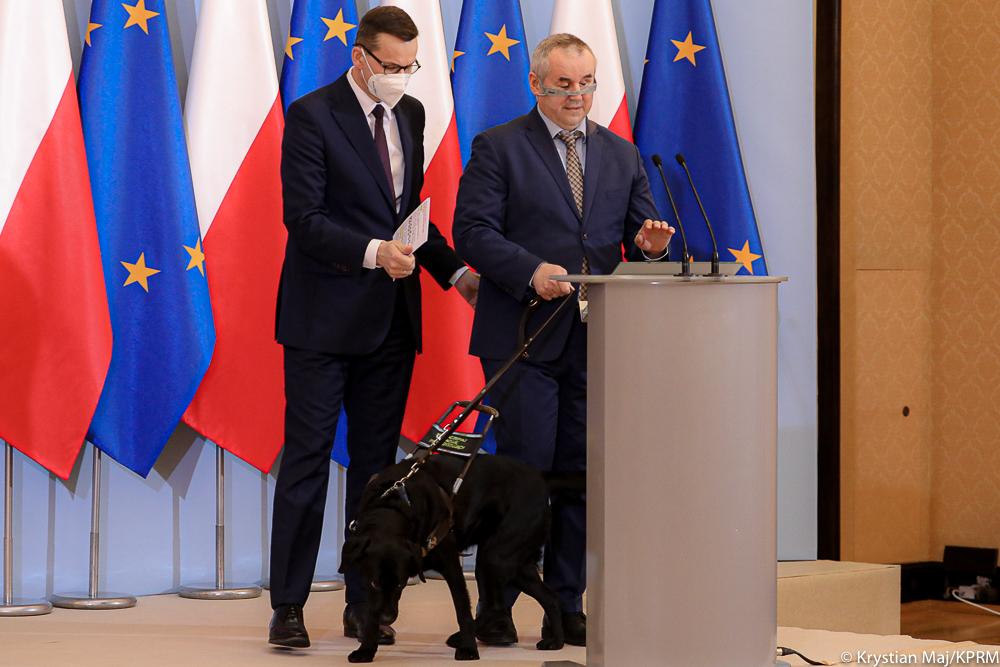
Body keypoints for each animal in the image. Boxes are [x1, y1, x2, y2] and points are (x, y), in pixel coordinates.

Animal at [342, 454, 568, 664]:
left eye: (400, 584)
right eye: (374, 583)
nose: (387, 618)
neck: (392, 507)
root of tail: (540, 479)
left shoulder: (452, 566)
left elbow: (462, 610)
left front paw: (469, 650)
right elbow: (370, 615)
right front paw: (366, 650)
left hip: (494, 559)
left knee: (495, 605)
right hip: (516, 565)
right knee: (550, 598)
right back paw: (556, 642)